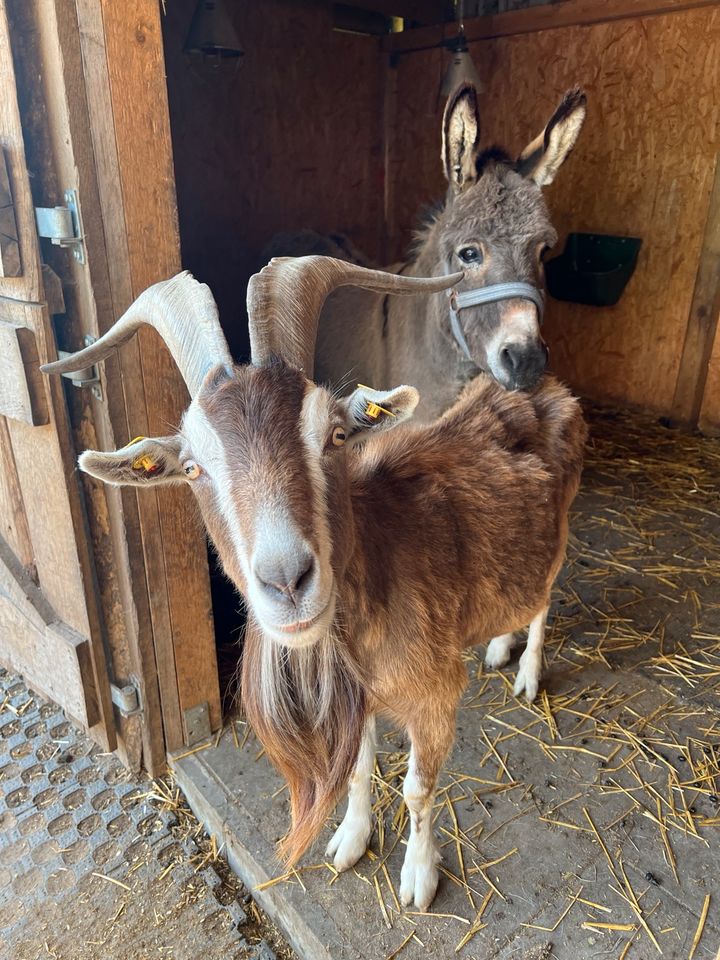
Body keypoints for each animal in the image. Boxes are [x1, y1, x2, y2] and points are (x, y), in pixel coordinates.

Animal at [42, 255, 584, 908]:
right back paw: (499, 646)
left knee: (545, 597)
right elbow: (357, 767)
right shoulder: (362, 694)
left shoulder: (435, 695)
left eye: (336, 435)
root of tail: (548, 388)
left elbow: (417, 789)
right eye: (192, 468)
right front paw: (350, 839)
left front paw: (417, 878)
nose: (287, 581)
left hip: (562, 525)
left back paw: (527, 671)